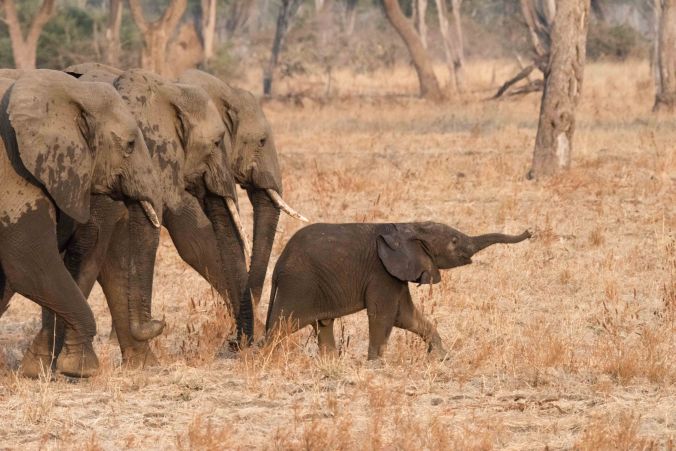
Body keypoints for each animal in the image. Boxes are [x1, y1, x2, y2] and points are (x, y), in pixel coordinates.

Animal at [0, 70, 163, 377]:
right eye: (130, 145)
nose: (161, 322)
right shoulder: (13, 173)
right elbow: (29, 264)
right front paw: (80, 370)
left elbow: (111, 262)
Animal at [265, 222, 531, 361]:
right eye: (454, 241)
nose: (530, 232)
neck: (409, 227)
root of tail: (278, 265)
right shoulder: (382, 272)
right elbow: (383, 315)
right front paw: (375, 365)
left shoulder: (395, 274)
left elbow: (406, 316)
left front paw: (440, 358)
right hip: (298, 285)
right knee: (282, 325)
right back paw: (262, 358)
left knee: (323, 323)